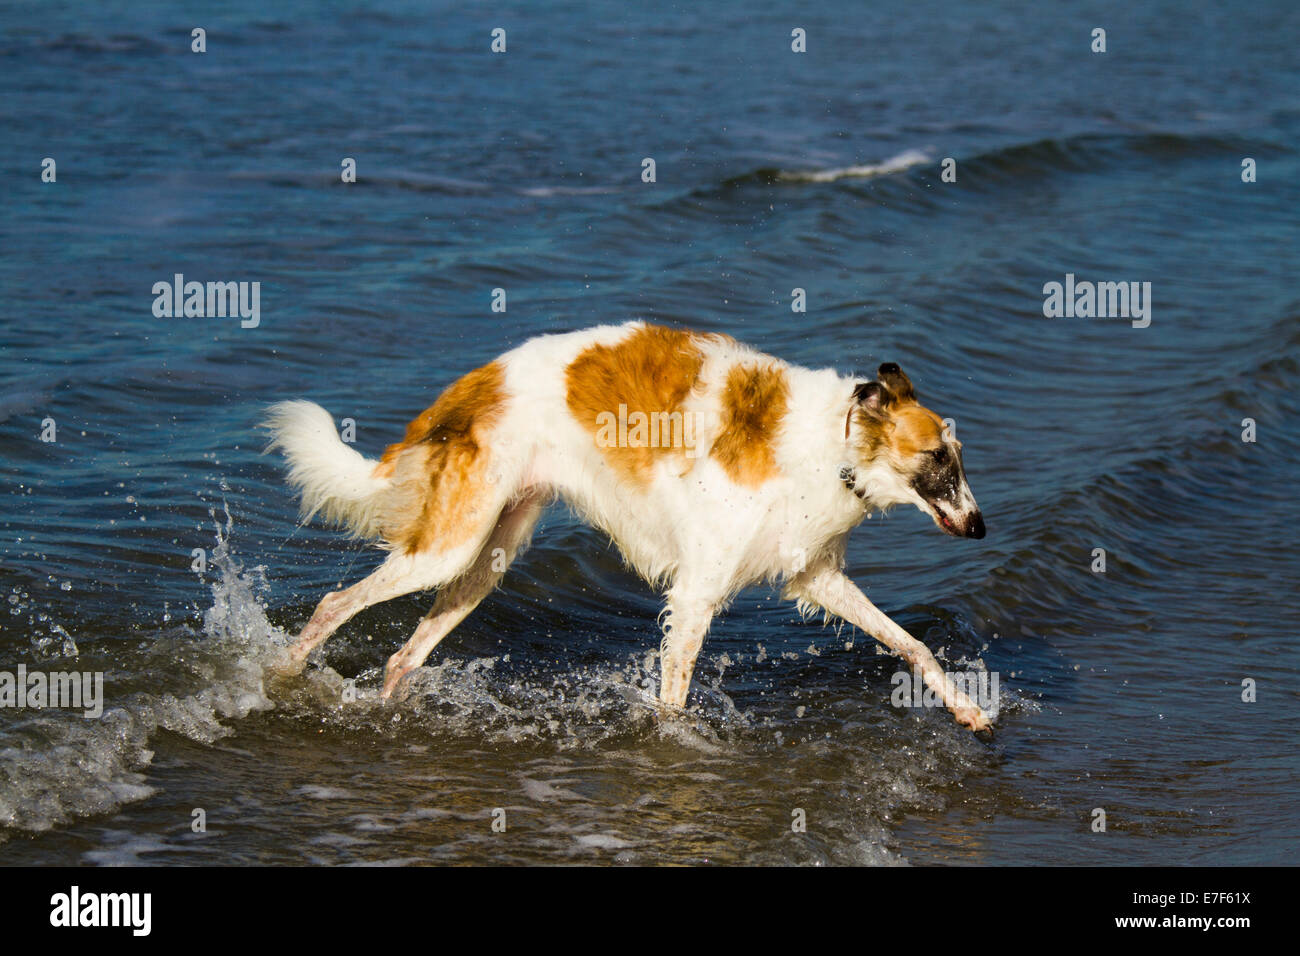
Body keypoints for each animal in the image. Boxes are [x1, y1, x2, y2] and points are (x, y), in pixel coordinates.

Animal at [269, 321, 987, 733]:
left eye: (958, 454)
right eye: (938, 457)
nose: (981, 527)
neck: (834, 446)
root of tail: (479, 381)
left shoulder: (816, 575)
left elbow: (913, 646)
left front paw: (969, 710)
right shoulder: (696, 595)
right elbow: (672, 702)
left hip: (484, 560)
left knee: (402, 655)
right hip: (448, 548)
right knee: (333, 603)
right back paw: (277, 679)